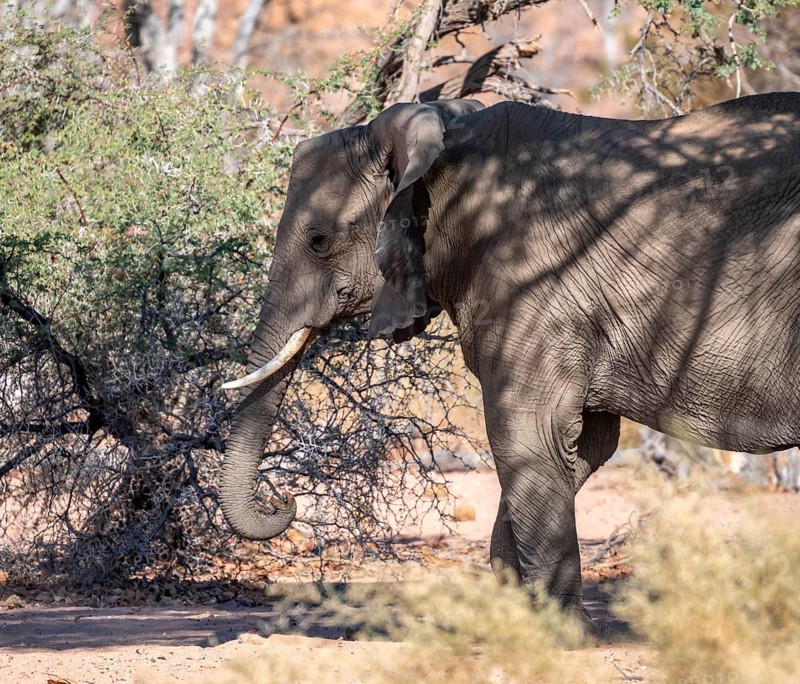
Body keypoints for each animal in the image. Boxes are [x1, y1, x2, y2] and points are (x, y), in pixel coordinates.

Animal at [219, 93, 800, 627]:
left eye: (318, 240)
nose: (284, 500)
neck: (447, 142)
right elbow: (580, 446)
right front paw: (523, 617)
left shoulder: (533, 283)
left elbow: (527, 435)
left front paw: (565, 635)